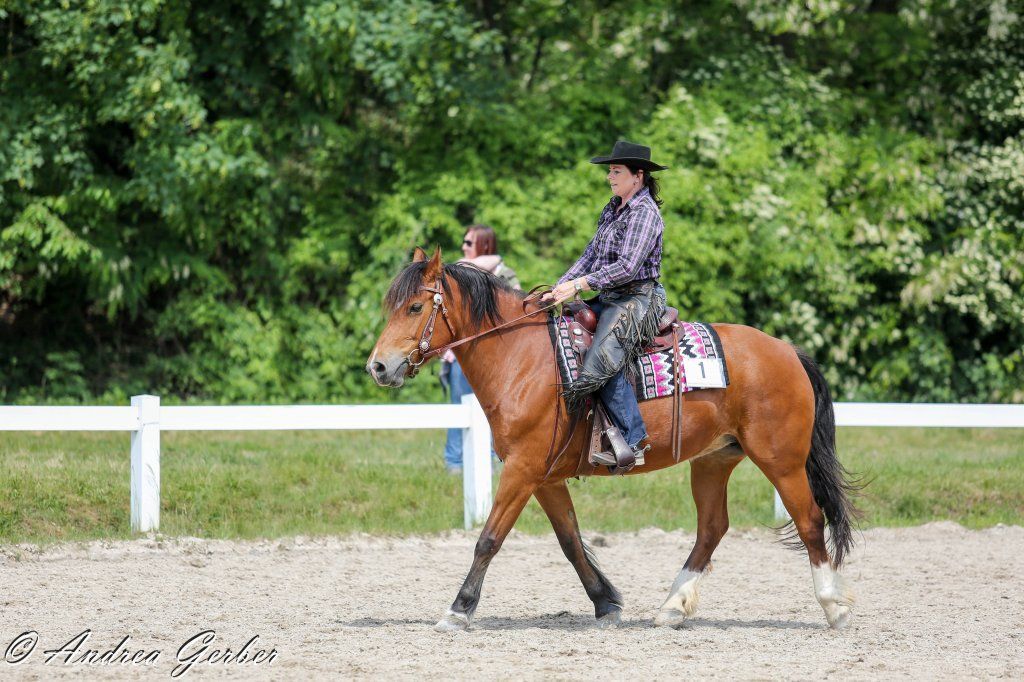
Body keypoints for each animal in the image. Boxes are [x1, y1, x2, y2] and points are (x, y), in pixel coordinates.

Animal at [366, 247, 859, 631]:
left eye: (414, 308)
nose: (378, 366)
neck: (522, 358)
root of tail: (786, 350)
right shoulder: (544, 477)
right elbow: (569, 541)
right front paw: (606, 602)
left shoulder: (522, 470)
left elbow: (489, 538)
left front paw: (458, 609)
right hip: (714, 460)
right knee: (712, 528)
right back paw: (672, 607)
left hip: (782, 461)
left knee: (810, 520)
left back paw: (833, 607)